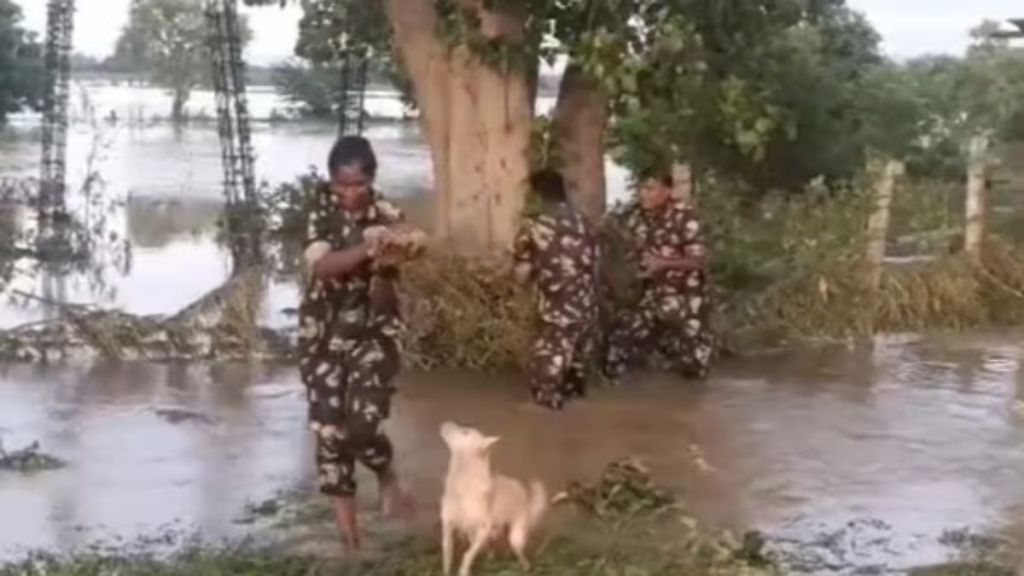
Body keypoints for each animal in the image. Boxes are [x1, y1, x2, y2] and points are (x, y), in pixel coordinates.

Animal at [438, 420, 548, 569]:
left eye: (465, 432)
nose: (445, 422)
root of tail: (521, 490)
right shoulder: (448, 526)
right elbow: (447, 552)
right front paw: (447, 570)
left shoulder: (483, 529)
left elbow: (467, 555)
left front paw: (463, 570)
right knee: (490, 546)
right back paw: (492, 558)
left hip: (515, 537)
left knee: (519, 553)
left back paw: (525, 566)